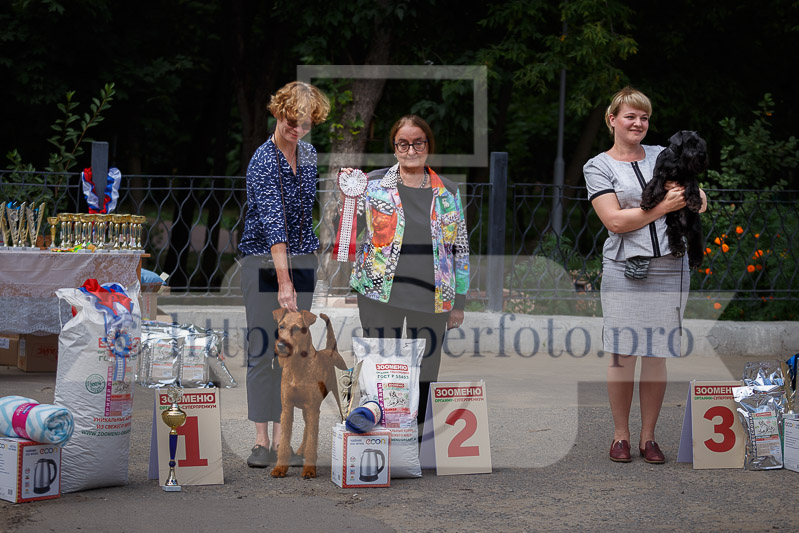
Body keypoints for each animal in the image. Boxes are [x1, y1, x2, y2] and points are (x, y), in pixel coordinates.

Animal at [272, 308, 346, 478]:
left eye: (297, 328)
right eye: (281, 326)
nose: (281, 345)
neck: (298, 366)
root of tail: (331, 350)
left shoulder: (313, 408)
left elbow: (313, 441)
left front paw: (309, 470)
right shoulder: (287, 407)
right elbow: (284, 441)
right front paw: (280, 468)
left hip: (335, 398)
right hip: (307, 409)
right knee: (307, 428)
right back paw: (300, 450)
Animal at [640, 131, 708, 268]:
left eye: (700, 142)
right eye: (689, 142)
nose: (702, 155)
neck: (677, 159)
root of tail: (684, 228)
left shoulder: (688, 176)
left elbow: (693, 189)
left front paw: (694, 204)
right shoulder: (660, 175)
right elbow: (653, 188)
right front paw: (647, 203)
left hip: (695, 230)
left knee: (695, 245)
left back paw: (695, 261)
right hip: (673, 226)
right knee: (674, 238)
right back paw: (678, 251)